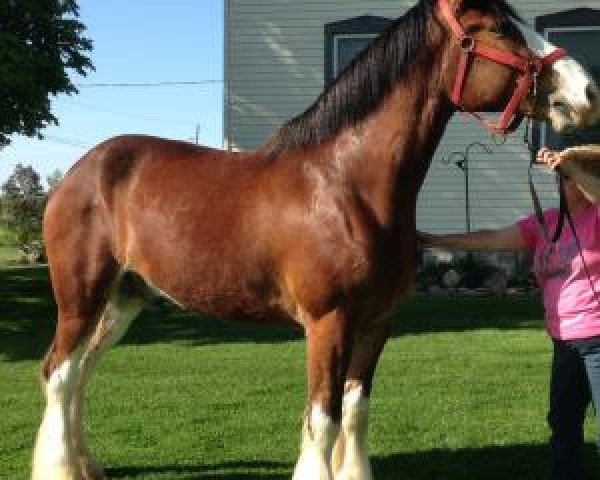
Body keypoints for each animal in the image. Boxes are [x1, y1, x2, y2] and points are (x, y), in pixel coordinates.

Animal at [34, 0, 600, 480]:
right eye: (499, 27)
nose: (588, 94)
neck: (347, 185)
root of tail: (80, 171)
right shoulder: (329, 324)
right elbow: (322, 420)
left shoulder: (377, 324)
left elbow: (355, 412)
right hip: (81, 296)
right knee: (59, 373)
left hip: (125, 297)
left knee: (80, 373)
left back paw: (88, 467)